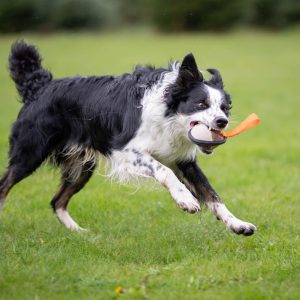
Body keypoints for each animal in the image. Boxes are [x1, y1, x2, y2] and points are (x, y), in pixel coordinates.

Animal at [0, 41, 258, 236]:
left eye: (224, 108)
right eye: (201, 104)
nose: (222, 122)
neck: (168, 115)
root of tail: (39, 87)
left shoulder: (184, 161)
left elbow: (213, 195)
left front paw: (238, 224)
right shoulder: (124, 151)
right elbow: (165, 171)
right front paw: (186, 200)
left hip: (83, 165)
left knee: (57, 201)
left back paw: (79, 233)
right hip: (29, 153)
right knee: (5, 185)